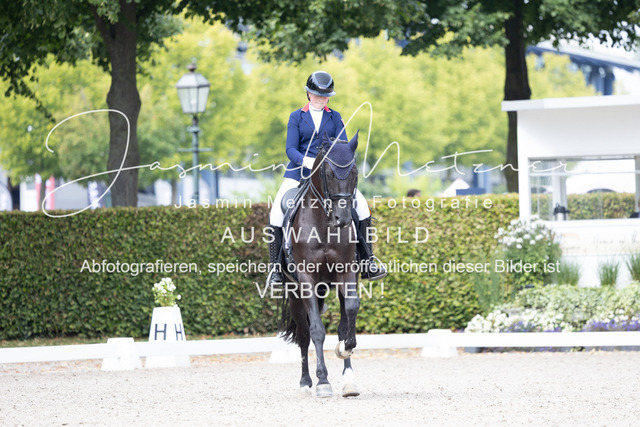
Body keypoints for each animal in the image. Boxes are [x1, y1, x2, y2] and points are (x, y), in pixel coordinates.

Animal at [279, 131, 361, 398]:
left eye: (354, 172)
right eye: (329, 173)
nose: (342, 219)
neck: (324, 224)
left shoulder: (347, 272)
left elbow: (349, 317)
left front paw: (346, 353)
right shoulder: (306, 279)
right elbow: (316, 329)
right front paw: (322, 381)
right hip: (294, 293)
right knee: (303, 334)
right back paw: (306, 382)